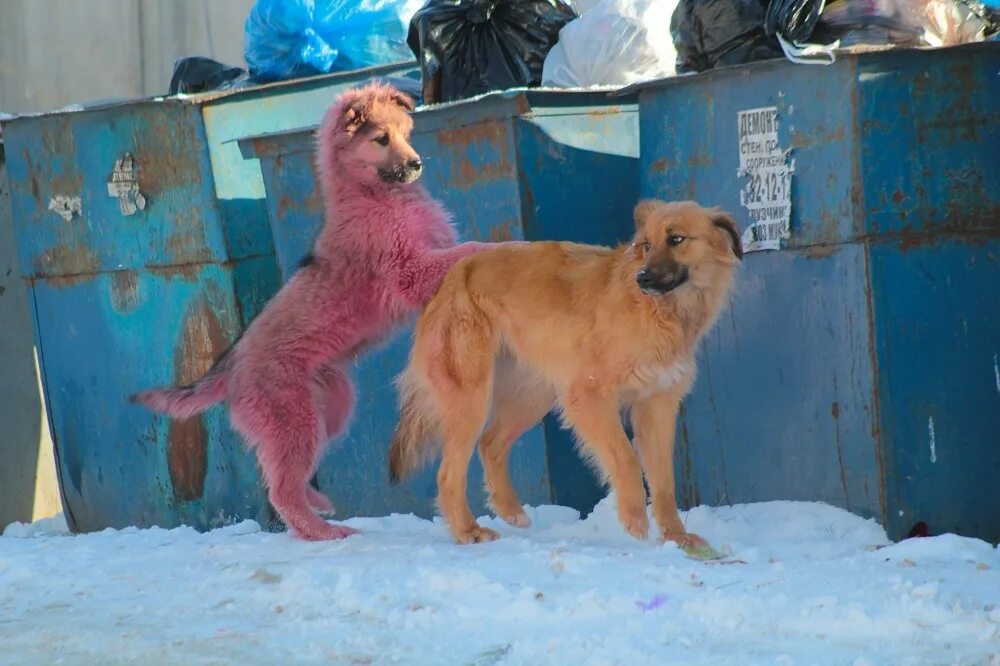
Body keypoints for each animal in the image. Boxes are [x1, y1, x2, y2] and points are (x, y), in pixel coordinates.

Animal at [134, 83, 500, 540]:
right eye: (382, 139)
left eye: (406, 133)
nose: (416, 164)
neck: (373, 194)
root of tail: (230, 367)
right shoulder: (408, 270)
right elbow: (466, 252)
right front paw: (502, 249)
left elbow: (457, 252)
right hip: (294, 420)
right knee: (281, 491)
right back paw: (326, 532)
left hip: (331, 409)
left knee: (286, 475)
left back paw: (319, 506)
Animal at [390, 201, 744, 544]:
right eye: (645, 245)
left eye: (676, 239)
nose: (642, 278)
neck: (663, 313)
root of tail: (452, 276)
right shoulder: (587, 396)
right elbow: (626, 458)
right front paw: (634, 519)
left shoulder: (656, 405)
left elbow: (664, 480)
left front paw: (676, 537)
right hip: (473, 398)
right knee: (448, 473)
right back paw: (467, 531)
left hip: (532, 398)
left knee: (490, 443)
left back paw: (510, 511)